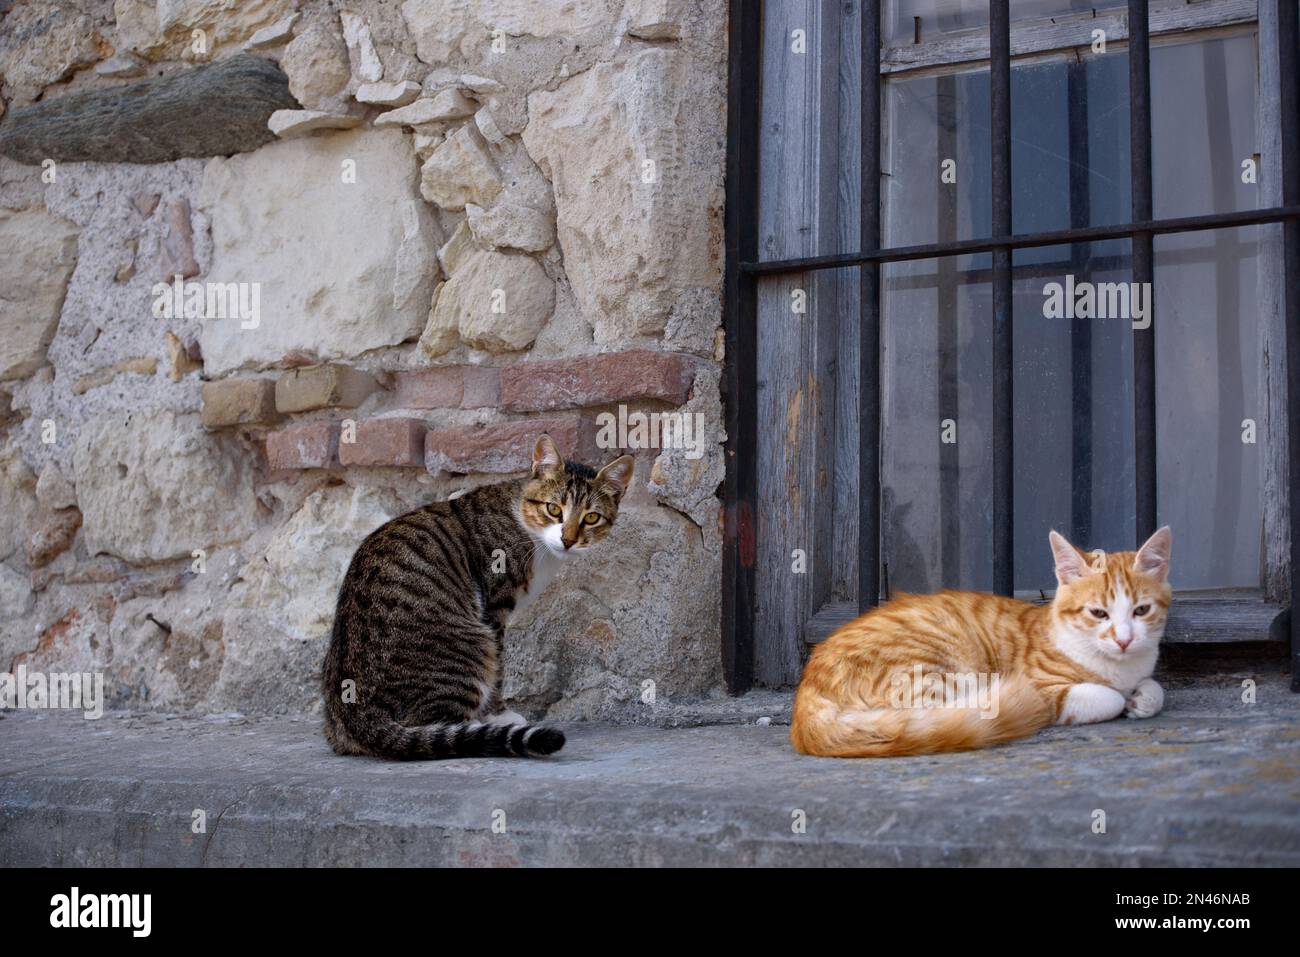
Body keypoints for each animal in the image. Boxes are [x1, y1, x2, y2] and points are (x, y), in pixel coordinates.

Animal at [322, 434, 631, 764]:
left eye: (591, 517)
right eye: (553, 509)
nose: (568, 540)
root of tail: (353, 717)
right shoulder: (494, 608)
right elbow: (499, 672)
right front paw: (499, 715)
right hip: (472, 644)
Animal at [785, 527, 1175, 759]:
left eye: (1141, 610)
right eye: (1098, 613)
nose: (1124, 640)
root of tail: (805, 702)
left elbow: (1155, 688)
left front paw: (1142, 698)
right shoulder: (1043, 687)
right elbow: (1105, 696)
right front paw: (1122, 698)